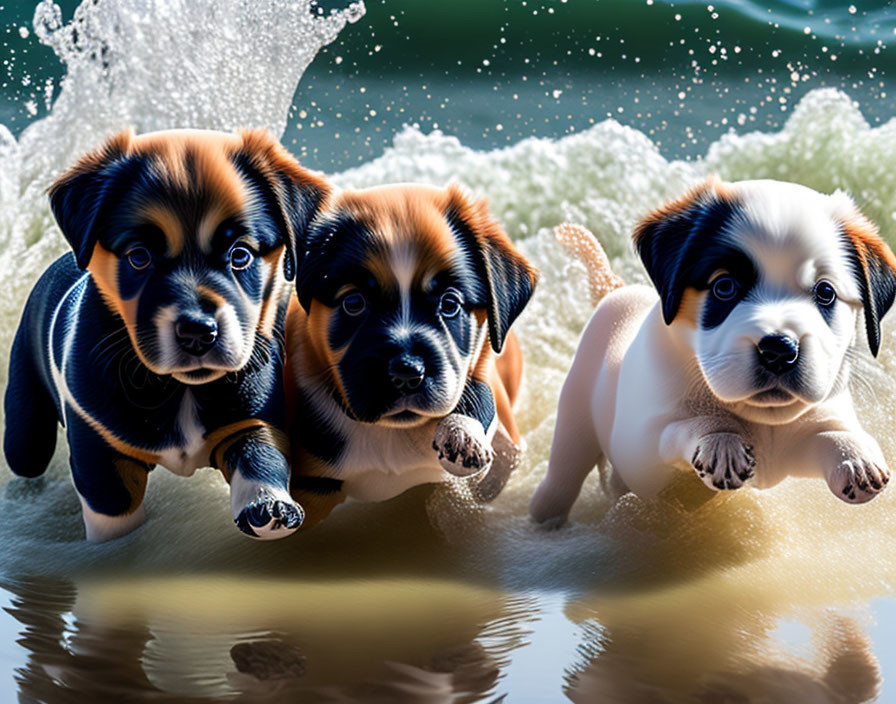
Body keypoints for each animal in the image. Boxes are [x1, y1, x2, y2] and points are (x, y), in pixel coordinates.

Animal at [3, 128, 328, 540]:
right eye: (139, 257)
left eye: (240, 255)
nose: (197, 333)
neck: (180, 388)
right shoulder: (98, 449)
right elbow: (114, 514)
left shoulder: (253, 420)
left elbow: (262, 460)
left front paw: (270, 506)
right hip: (25, 427)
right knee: (25, 453)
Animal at [284, 184, 536, 524]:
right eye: (354, 303)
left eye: (450, 304)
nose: (406, 373)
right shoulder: (313, 484)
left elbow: (479, 398)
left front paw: (462, 435)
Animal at [532, 179, 896, 524]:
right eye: (725, 287)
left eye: (825, 293)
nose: (779, 350)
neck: (761, 418)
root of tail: (617, 291)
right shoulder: (642, 445)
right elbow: (688, 425)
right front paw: (721, 440)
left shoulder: (804, 434)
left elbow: (829, 432)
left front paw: (854, 456)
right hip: (575, 418)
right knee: (564, 473)